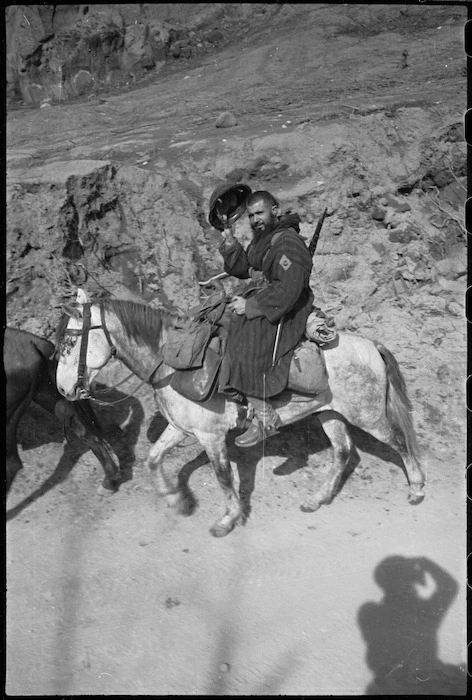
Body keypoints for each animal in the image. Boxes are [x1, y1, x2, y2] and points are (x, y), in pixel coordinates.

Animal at [54, 288, 424, 536]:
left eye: (70, 343)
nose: (63, 390)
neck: (175, 361)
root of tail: (370, 345)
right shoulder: (181, 429)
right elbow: (154, 459)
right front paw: (176, 500)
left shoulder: (211, 436)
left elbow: (223, 476)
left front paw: (227, 519)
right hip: (329, 414)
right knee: (344, 451)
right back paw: (317, 499)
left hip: (368, 416)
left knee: (399, 442)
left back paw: (417, 489)